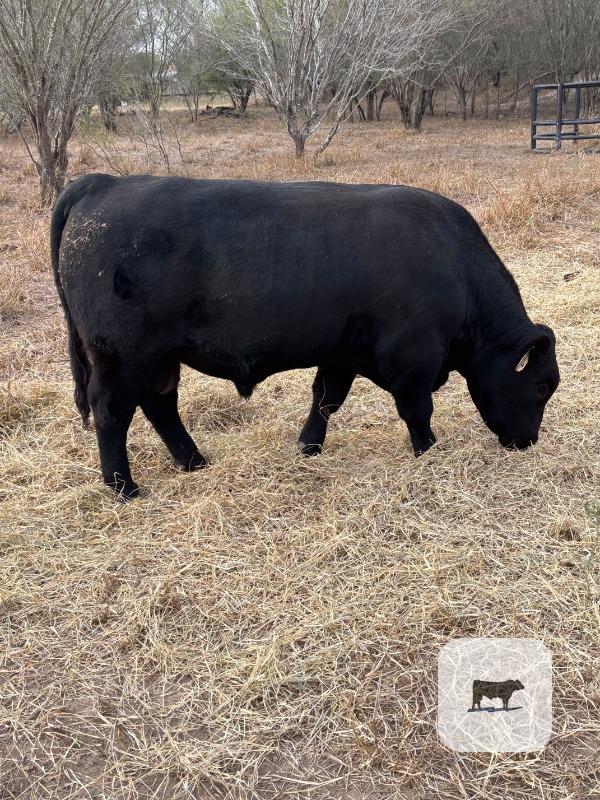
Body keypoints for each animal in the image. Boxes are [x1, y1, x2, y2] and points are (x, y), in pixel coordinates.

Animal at [50, 175, 560, 499]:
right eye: (540, 387)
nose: (528, 441)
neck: (453, 266)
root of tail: (102, 183)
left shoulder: (342, 352)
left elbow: (326, 399)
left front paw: (308, 447)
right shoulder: (413, 358)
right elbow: (417, 410)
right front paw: (429, 451)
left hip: (158, 359)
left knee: (160, 406)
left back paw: (193, 462)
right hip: (120, 357)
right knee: (112, 412)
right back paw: (124, 488)